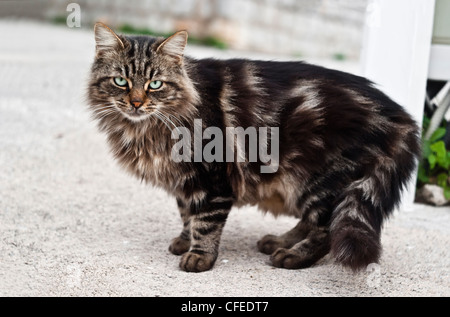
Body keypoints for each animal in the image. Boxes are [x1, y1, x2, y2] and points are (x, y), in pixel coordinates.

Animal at [89, 23, 422, 272]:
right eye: (120, 81)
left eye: (155, 84)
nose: (136, 102)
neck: (146, 128)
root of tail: (403, 117)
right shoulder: (184, 183)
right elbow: (187, 215)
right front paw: (184, 241)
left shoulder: (211, 180)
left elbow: (205, 223)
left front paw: (199, 257)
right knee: (313, 220)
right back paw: (280, 242)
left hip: (320, 179)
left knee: (327, 227)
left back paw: (292, 256)